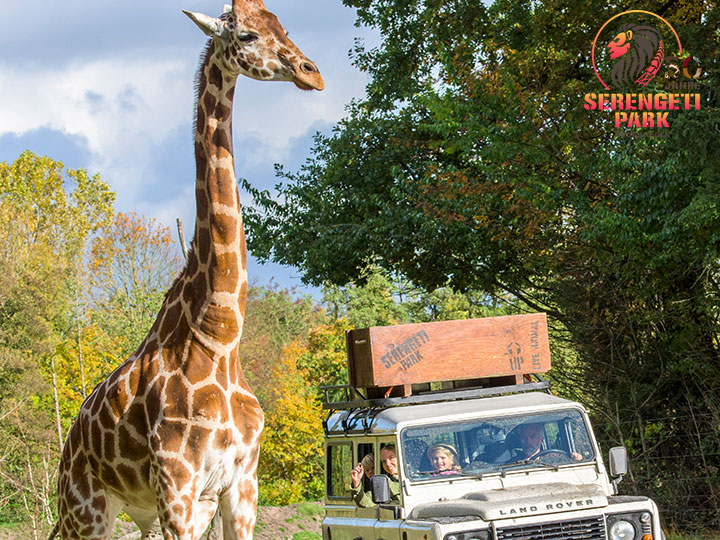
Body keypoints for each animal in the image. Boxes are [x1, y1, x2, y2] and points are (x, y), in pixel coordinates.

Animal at [52, 1, 323, 539]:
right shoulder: (179, 485)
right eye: (246, 34)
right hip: (86, 511)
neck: (218, 337)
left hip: (144, 511)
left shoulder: (239, 485)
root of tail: (69, 448)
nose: (312, 73)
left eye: (284, 26)